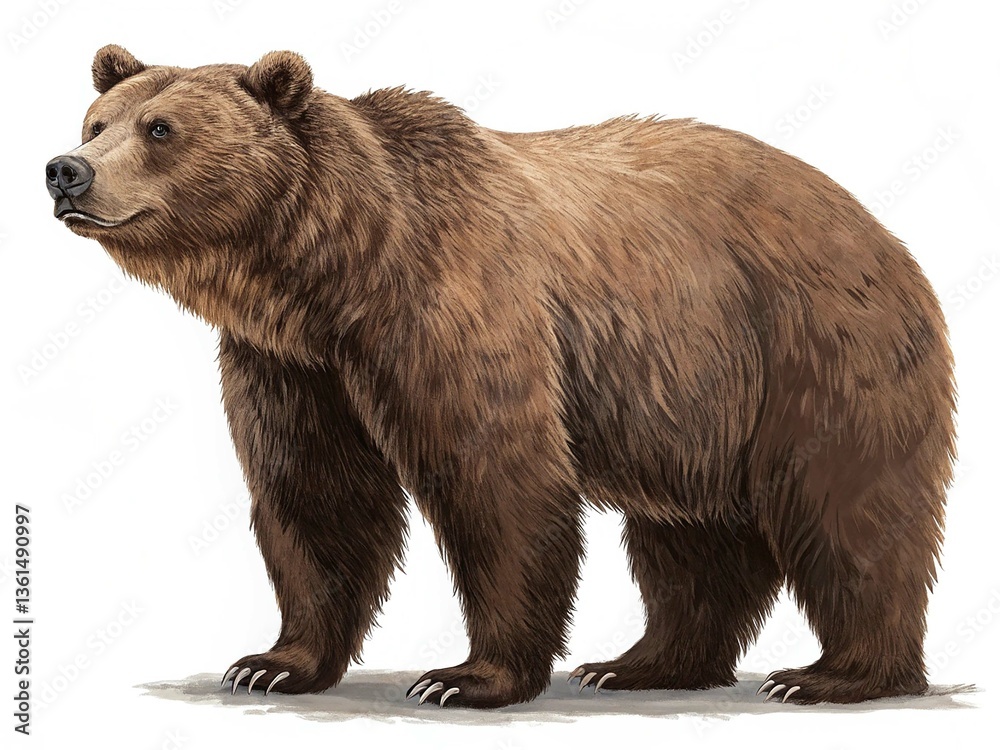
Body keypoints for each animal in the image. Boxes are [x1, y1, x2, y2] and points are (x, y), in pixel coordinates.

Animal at [46, 45, 955, 708]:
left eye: (161, 129)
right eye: (96, 120)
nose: (66, 170)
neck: (333, 274)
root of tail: (875, 225)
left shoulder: (451, 307)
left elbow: (497, 479)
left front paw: (464, 677)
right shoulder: (295, 366)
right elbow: (316, 495)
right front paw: (273, 662)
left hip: (813, 346)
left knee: (847, 504)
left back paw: (833, 675)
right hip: (692, 398)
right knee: (690, 536)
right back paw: (640, 663)